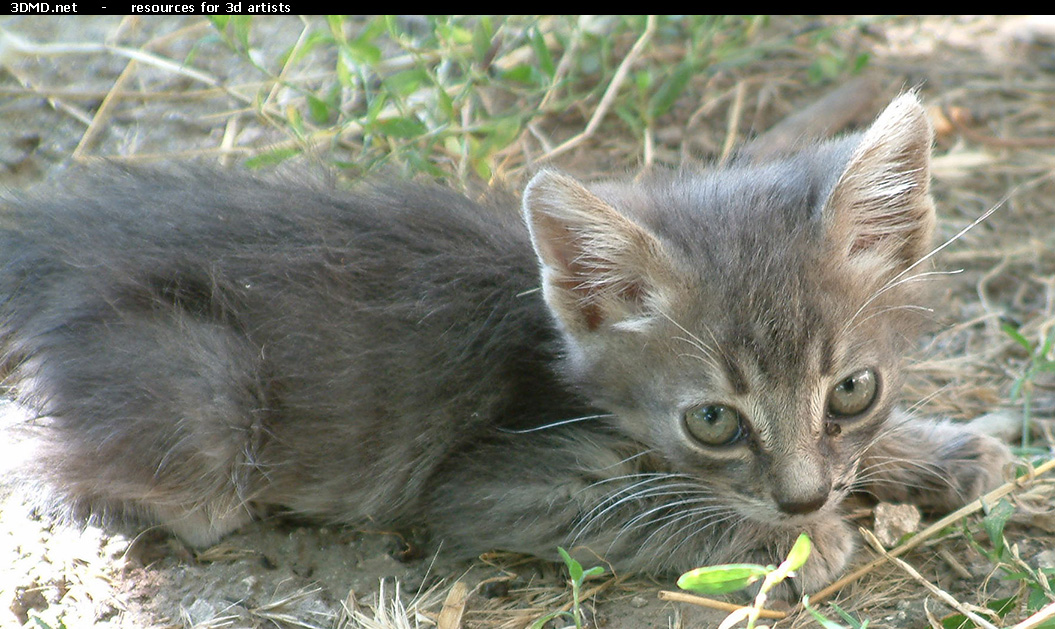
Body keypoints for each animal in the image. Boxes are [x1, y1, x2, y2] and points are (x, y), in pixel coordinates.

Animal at [0, 94, 1012, 595]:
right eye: (713, 421)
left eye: (852, 390)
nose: (801, 497)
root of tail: (80, 240)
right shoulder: (488, 483)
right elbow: (637, 508)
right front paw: (794, 538)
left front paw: (939, 452)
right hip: (205, 398)